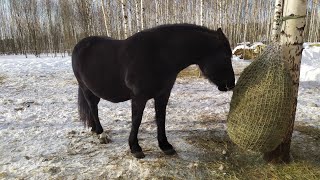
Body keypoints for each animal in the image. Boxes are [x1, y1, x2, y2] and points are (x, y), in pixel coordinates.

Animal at [72, 23, 235, 158]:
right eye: (226, 56)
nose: (231, 84)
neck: (158, 56)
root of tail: (80, 45)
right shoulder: (139, 97)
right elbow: (136, 120)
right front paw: (135, 148)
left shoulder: (163, 95)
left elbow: (161, 118)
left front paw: (165, 146)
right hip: (86, 89)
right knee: (93, 108)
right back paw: (101, 134)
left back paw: (94, 129)